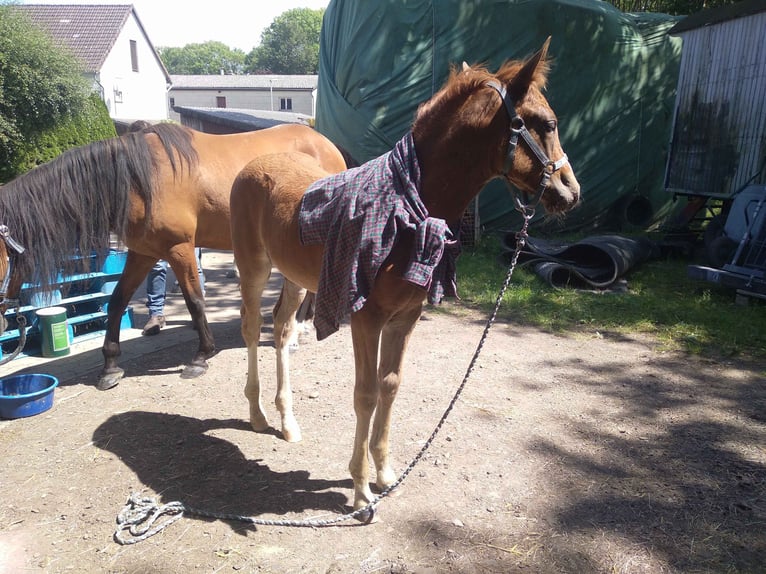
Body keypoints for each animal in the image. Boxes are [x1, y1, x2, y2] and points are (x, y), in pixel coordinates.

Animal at [0, 124, 344, 390]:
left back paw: (297, 331)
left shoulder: (179, 247)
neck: (137, 181)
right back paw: (300, 327)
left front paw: (201, 356)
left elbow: (195, 300)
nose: (4, 319)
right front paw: (110, 366)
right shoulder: (143, 252)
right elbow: (117, 301)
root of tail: (327, 144)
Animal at [231, 39, 580, 516]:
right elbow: (365, 393)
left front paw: (384, 472)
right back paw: (258, 415)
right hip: (253, 267)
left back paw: (287, 422)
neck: (409, 209)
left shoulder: (406, 316)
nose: (571, 192)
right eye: (546, 123)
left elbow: (390, 386)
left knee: (282, 329)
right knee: (251, 329)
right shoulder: (366, 318)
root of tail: (254, 165)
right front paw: (361, 490)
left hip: (295, 277)